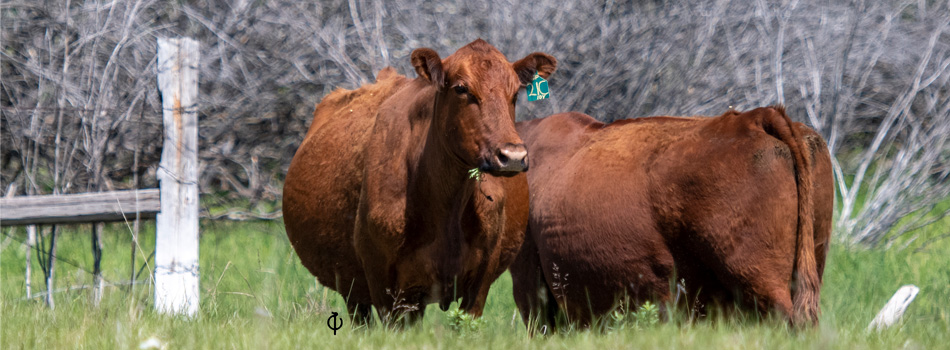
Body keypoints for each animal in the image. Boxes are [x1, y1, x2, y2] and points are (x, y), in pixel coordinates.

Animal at [286, 39, 556, 324]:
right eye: (461, 88)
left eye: (515, 93)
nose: (512, 156)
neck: (448, 206)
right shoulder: (385, 284)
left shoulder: (481, 280)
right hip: (354, 289)